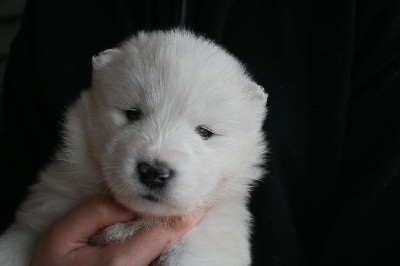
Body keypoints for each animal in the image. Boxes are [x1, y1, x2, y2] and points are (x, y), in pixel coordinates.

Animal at [0, 29, 268, 266]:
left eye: (205, 132)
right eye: (132, 114)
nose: (154, 172)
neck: (141, 218)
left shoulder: (207, 241)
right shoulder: (41, 215)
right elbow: (13, 248)